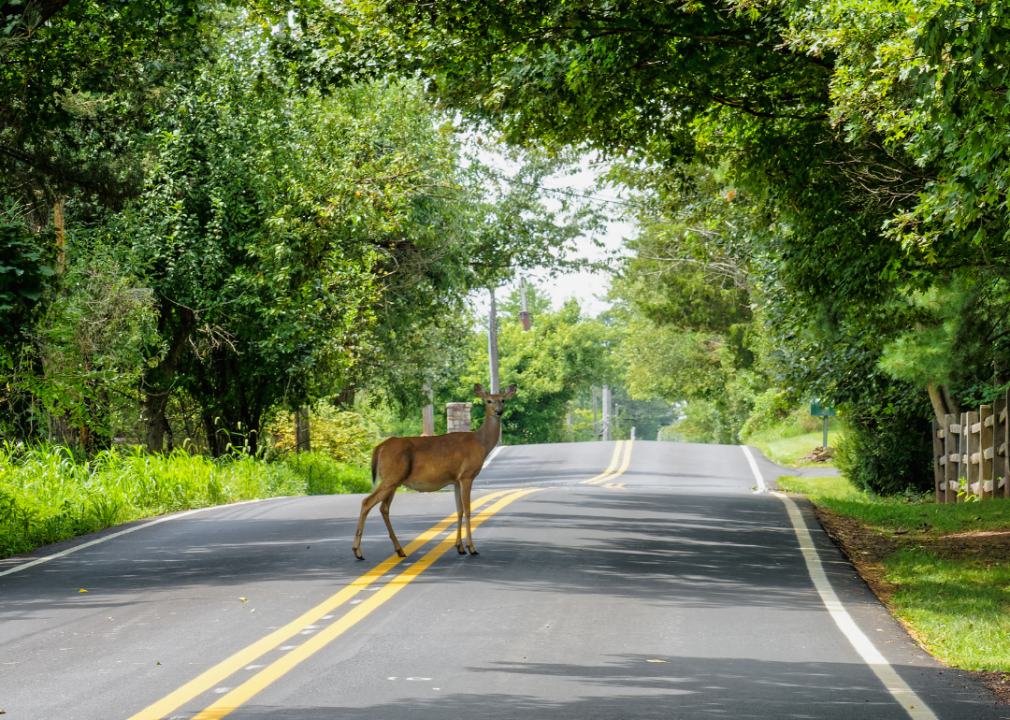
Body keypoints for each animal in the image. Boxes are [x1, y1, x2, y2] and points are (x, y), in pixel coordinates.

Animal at [351, 381, 517, 561]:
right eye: (488, 400)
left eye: (503, 400)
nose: (499, 411)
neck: (480, 443)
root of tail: (379, 447)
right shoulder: (467, 475)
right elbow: (468, 510)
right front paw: (471, 548)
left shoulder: (456, 479)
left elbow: (459, 510)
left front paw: (459, 547)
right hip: (391, 477)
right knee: (367, 502)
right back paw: (358, 551)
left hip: (393, 480)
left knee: (383, 508)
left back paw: (399, 550)